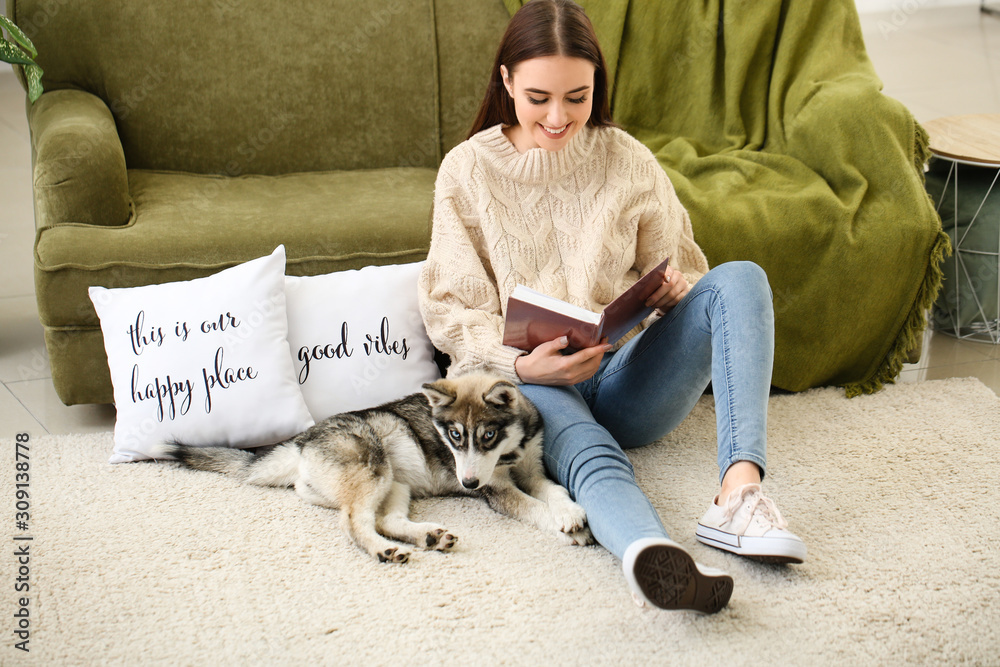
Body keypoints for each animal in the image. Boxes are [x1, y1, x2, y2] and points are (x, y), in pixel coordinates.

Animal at [157, 376, 592, 564]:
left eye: (486, 435)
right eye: (453, 436)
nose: (467, 482)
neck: (509, 453)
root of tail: (301, 443)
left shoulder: (532, 471)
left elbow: (554, 492)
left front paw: (572, 514)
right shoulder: (499, 491)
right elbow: (534, 507)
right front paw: (568, 529)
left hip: (396, 486)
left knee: (386, 520)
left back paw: (428, 536)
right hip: (374, 471)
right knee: (354, 522)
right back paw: (385, 550)